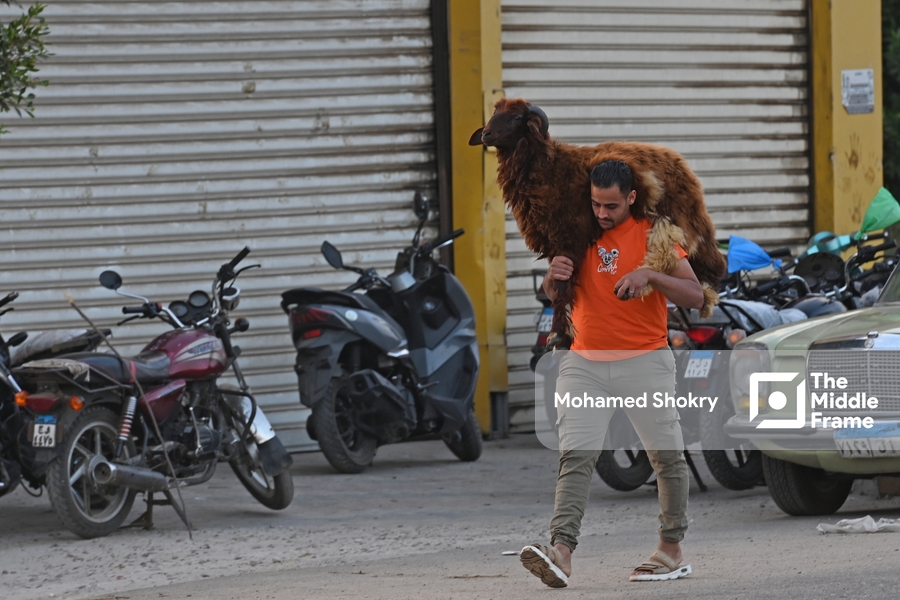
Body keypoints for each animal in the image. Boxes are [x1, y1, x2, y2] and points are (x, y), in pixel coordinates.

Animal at [469, 97, 725, 349]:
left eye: (515, 118)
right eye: (495, 113)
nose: (486, 134)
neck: (549, 168)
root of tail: (679, 162)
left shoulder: (570, 235)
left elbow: (563, 288)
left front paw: (559, 334)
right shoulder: (554, 241)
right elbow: (560, 282)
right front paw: (562, 333)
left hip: (674, 222)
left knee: (696, 263)